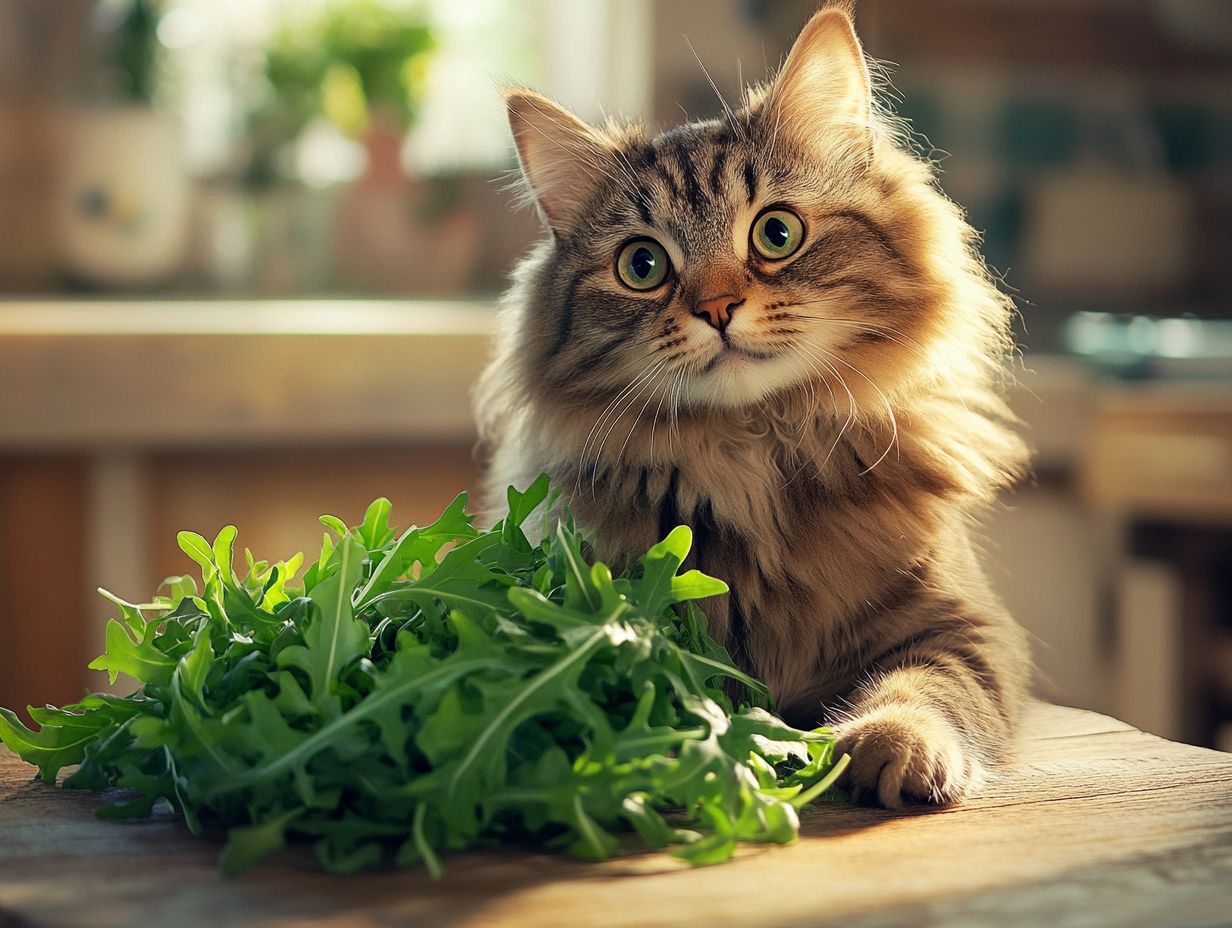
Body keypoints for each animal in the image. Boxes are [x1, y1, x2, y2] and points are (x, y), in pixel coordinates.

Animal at [475, 1, 1034, 803]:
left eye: (777, 232)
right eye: (642, 265)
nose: (716, 308)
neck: (752, 455)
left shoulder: (967, 627)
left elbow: (930, 690)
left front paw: (894, 746)